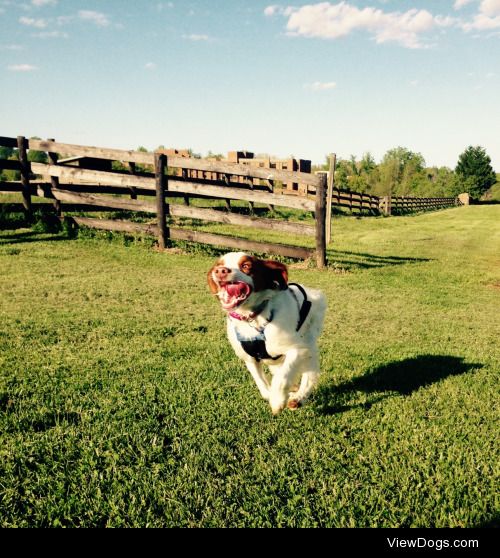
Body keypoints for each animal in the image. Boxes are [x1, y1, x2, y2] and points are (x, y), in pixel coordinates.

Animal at [206, 254, 326, 416]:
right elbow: (262, 384)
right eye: (219, 265)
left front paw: (277, 401)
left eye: (246, 266)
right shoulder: (250, 359)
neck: (253, 318)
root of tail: (314, 293)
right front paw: (272, 395)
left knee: (310, 376)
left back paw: (298, 398)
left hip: (309, 344)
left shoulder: (297, 349)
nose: (220, 271)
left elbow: (282, 377)